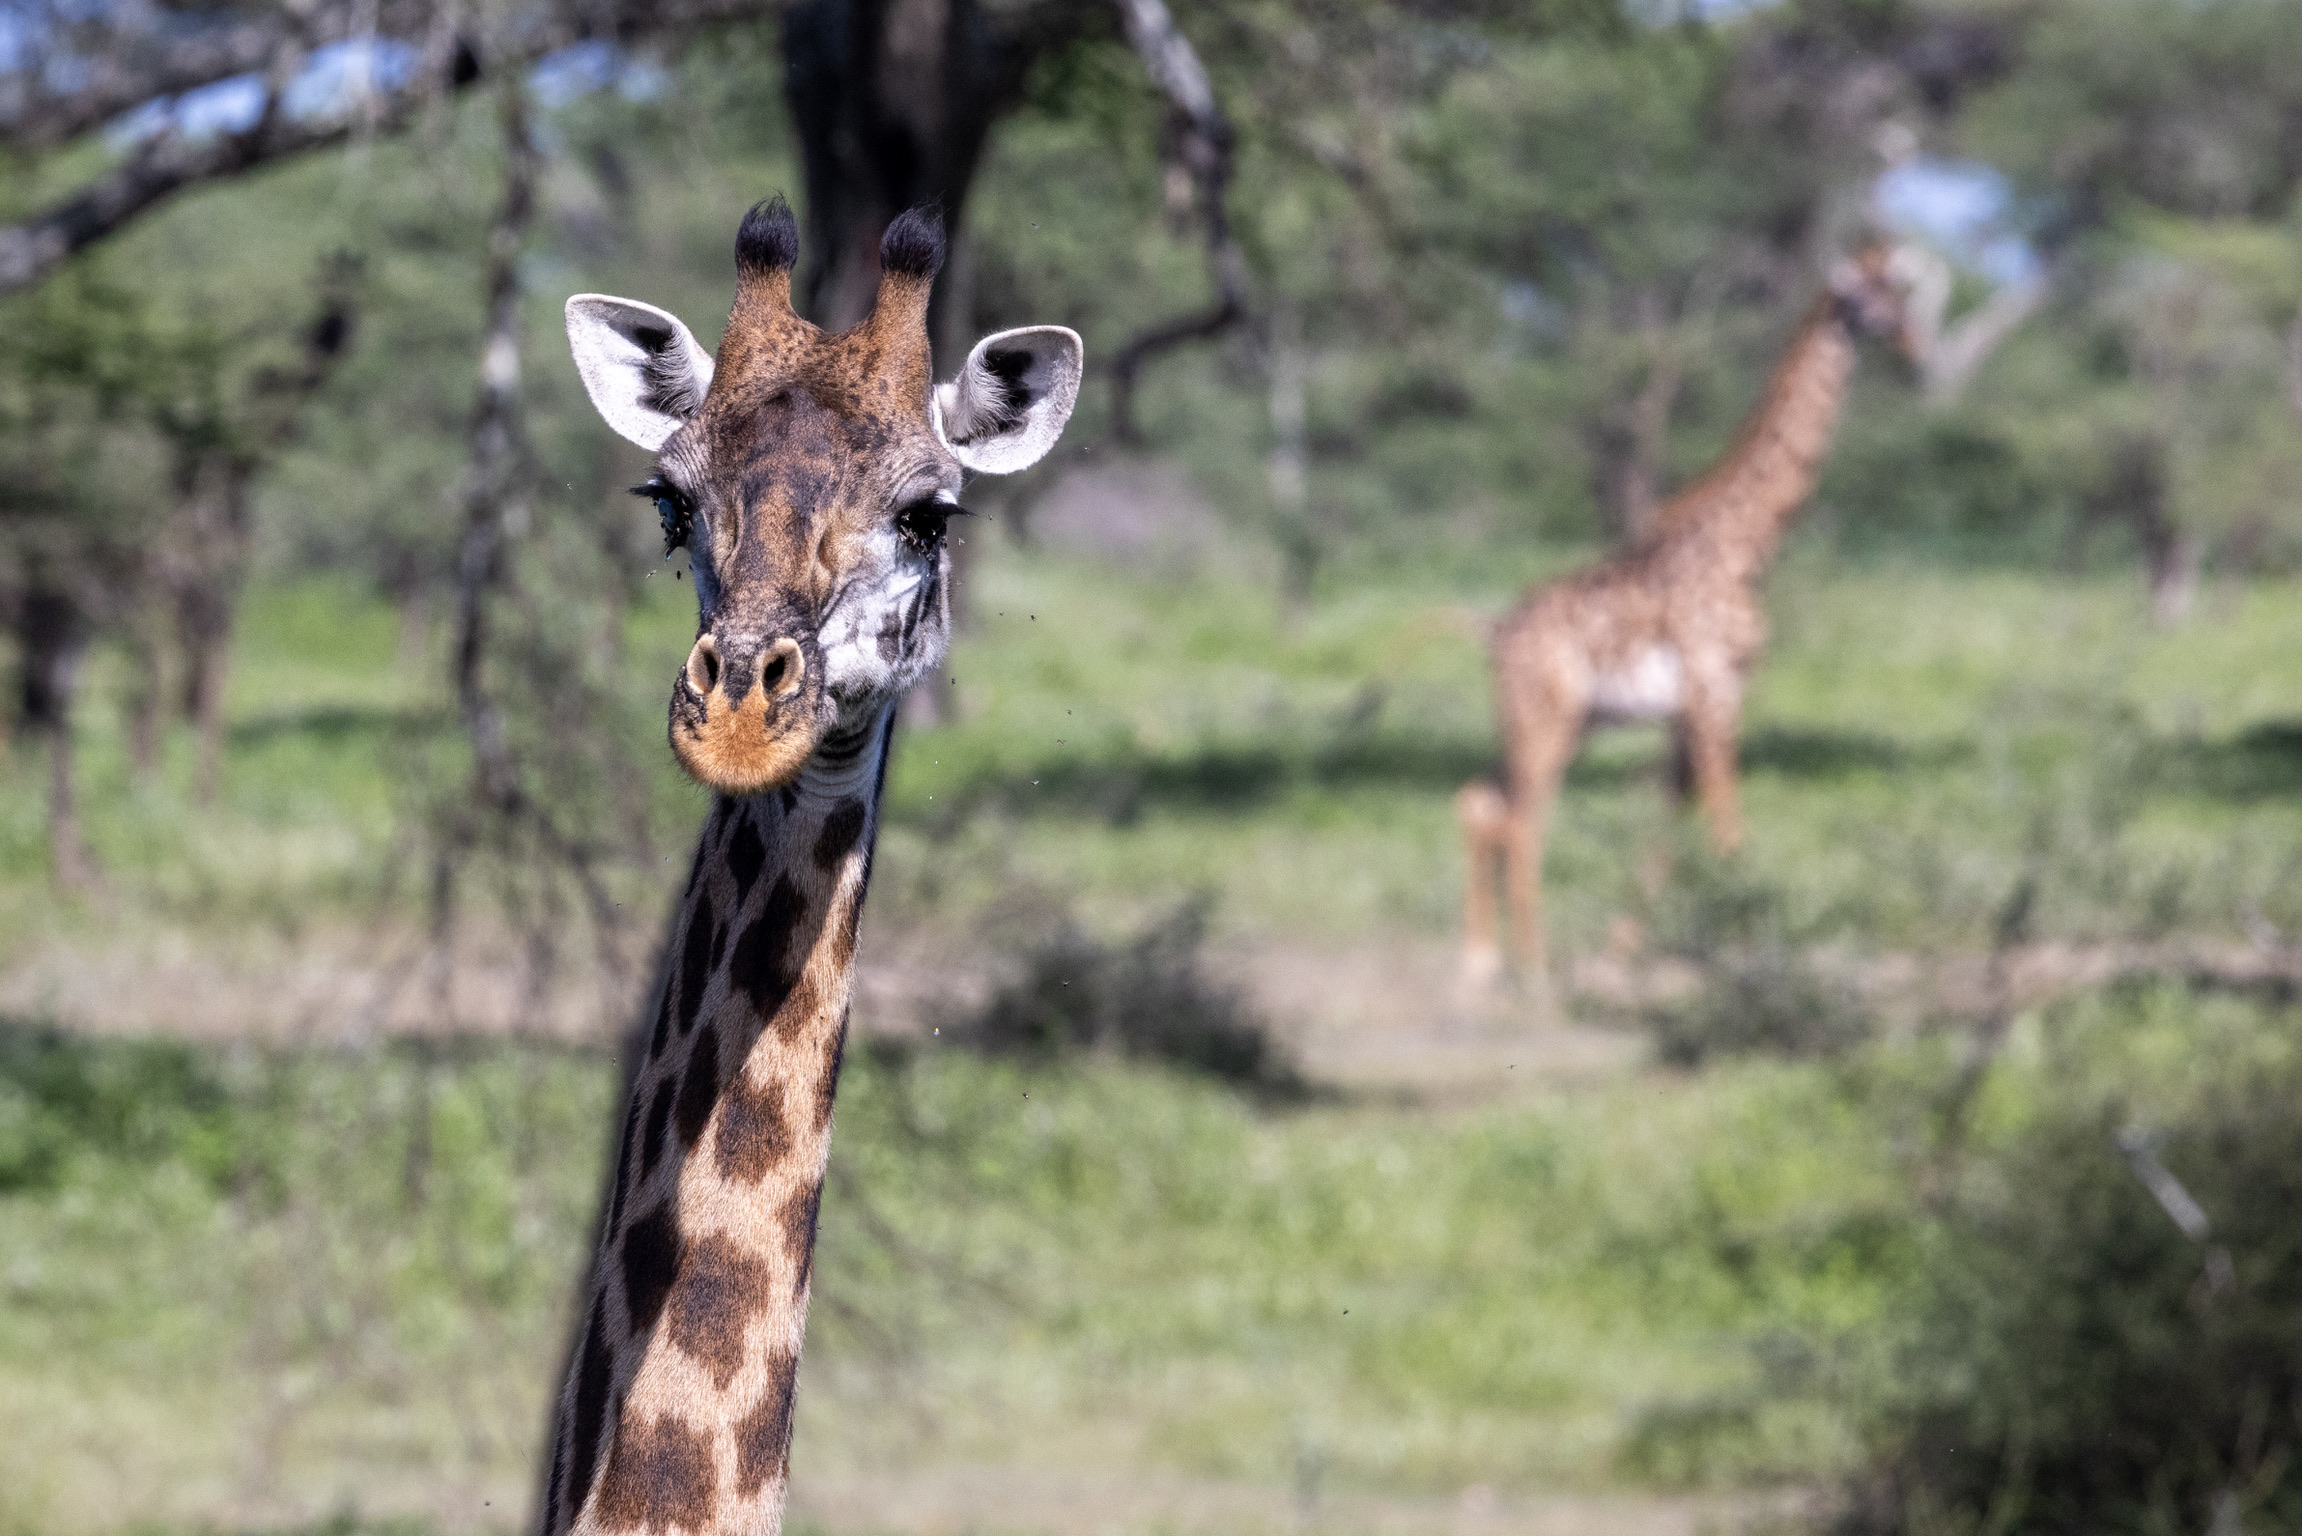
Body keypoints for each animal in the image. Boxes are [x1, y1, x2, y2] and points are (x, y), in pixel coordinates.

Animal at [1458, 242, 1924, 987]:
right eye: (1865, 299)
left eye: (1904, 292)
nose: (1913, 351)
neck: (1747, 545)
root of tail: (1494, 632)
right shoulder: (1715, 693)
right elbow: (1728, 830)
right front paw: (1753, 956)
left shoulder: (1686, 712)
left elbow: (1667, 831)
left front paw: (1627, 953)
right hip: (1546, 722)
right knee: (1521, 825)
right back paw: (1534, 973)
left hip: (1552, 722)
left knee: (1481, 803)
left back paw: (1481, 964)